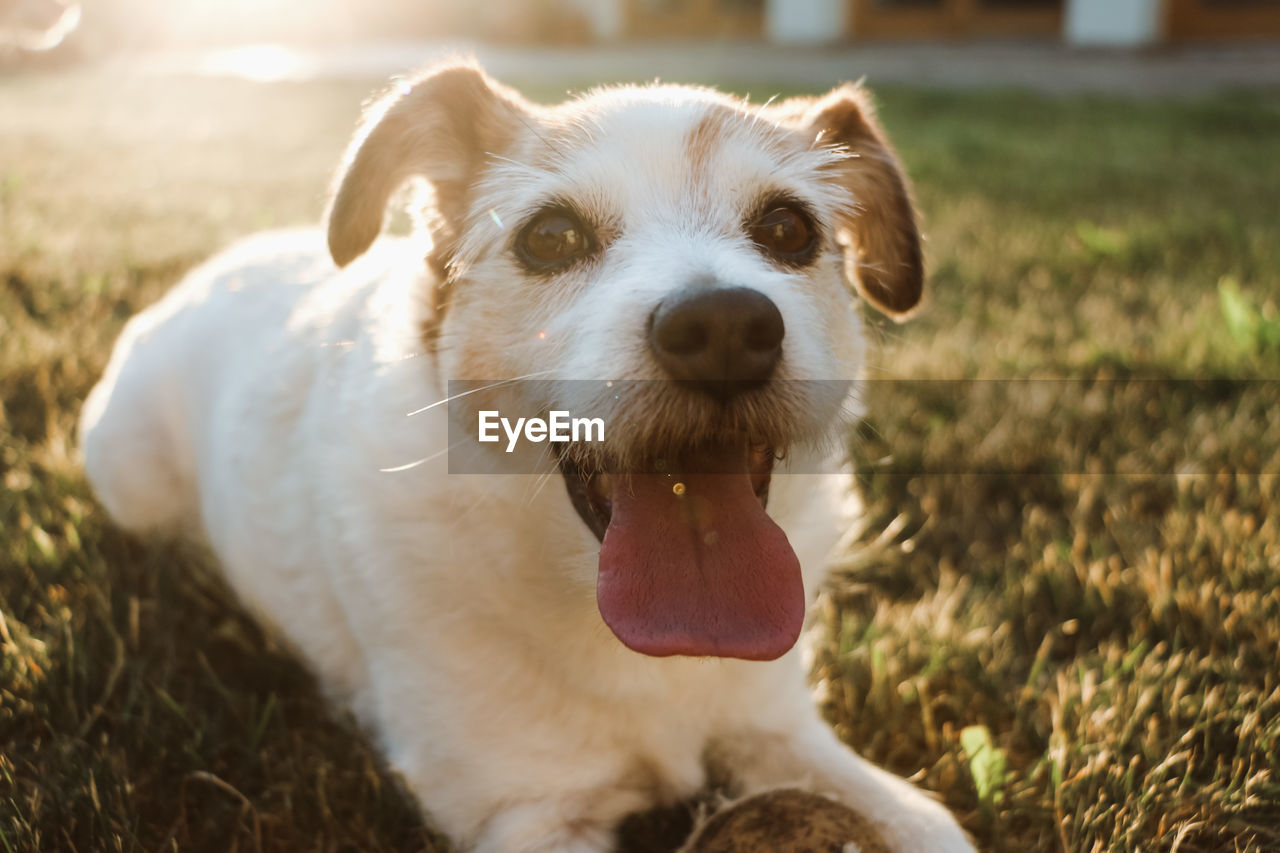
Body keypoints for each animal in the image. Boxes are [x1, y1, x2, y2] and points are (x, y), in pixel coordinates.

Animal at [77, 63, 967, 845]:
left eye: (788, 229)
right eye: (551, 236)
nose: (723, 327)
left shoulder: (779, 728)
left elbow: (935, 824)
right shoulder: (531, 811)